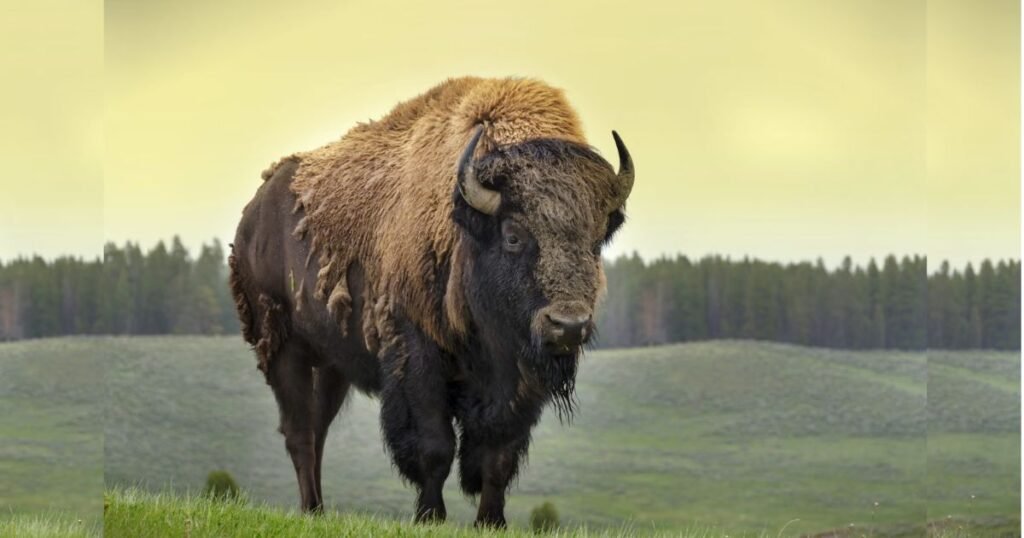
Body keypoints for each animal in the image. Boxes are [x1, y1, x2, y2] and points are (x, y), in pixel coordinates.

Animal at [229, 76, 634, 527]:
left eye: (596, 240)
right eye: (513, 234)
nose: (569, 325)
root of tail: (253, 215)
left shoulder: (517, 381)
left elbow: (499, 455)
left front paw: (490, 521)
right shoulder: (417, 356)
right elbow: (435, 447)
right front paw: (430, 516)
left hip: (332, 364)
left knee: (317, 429)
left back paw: (317, 511)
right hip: (284, 348)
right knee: (300, 432)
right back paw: (313, 509)